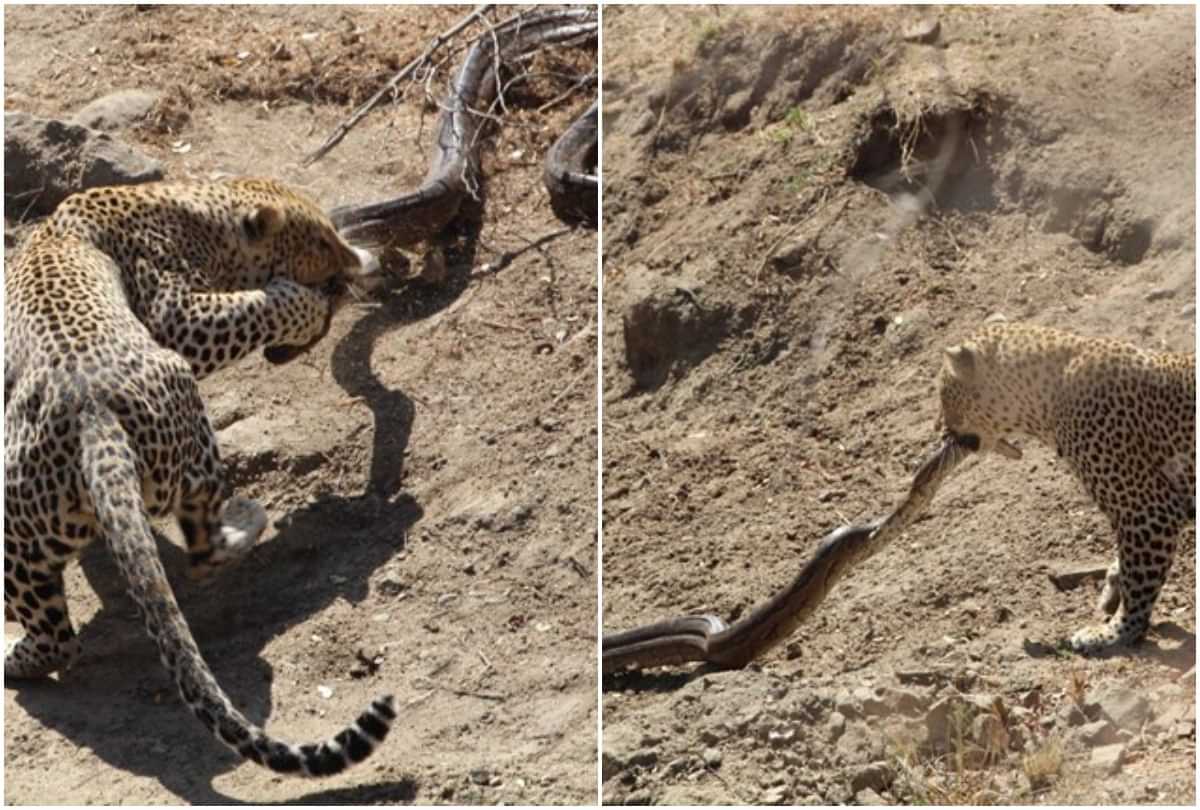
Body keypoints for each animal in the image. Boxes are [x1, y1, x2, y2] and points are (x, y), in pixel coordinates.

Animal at [4, 177, 397, 776]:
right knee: (195, 550)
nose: (358, 261)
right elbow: (268, 301)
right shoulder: (176, 314)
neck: (197, 211)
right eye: (322, 243)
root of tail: (95, 417)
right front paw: (309, 302)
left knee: (70, 630)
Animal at [938, 321, 1195, 653]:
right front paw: (1111, 589)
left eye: (944, 394)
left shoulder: (1147, 512)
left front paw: (1113, 633)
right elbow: (1126, 567)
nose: (942, 431)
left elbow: (1138, 584)